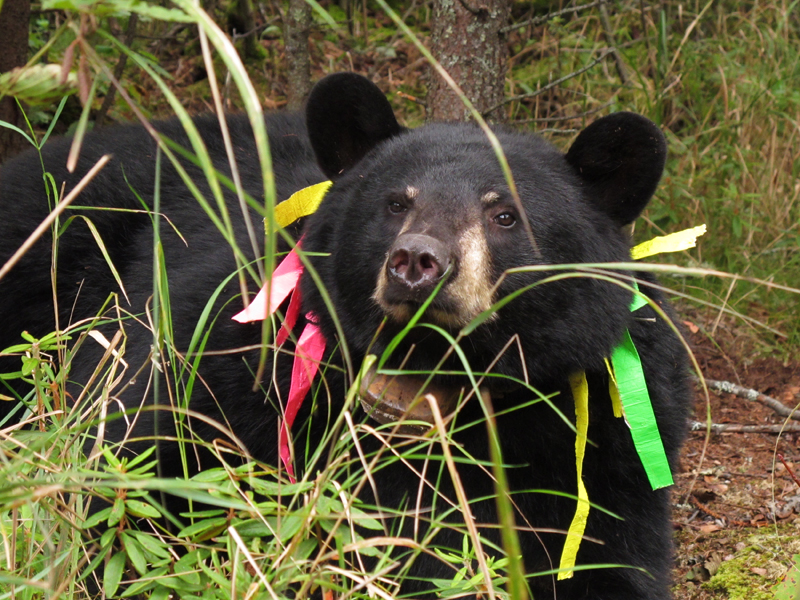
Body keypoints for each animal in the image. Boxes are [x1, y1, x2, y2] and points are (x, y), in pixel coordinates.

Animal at [0, 72, 690, 599]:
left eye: (504, 214)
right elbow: (144, 450)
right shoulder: (240, 347)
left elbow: (605, 552)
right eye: (396, 202)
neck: (429, 375)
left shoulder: (596, 431)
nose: (418, 261)